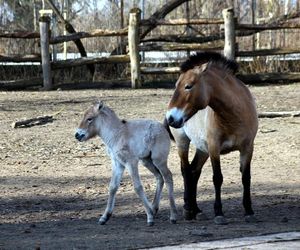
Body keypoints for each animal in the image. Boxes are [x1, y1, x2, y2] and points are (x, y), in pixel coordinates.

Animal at [165, 51, 256, 225]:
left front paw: (249, 211)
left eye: (188, 86)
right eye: (175, 86)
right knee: (186, 171)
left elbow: (246, 177)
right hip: (183, 143)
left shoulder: (248, 148)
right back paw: (188, 210)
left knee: (194, 171)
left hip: (202, 149)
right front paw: (219, 213)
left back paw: (196, 210)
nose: (170, 118)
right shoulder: (214, 148)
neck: (234, 115)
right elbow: (217, 178)